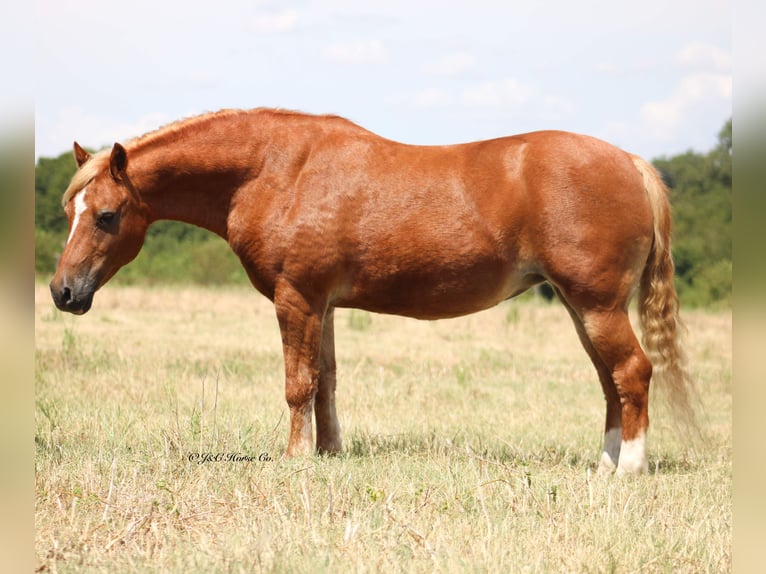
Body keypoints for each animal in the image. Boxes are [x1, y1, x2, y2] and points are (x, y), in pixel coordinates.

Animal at [49, 108, 697, 475]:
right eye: (67, 210)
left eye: (106, 216)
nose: (63, 292)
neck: (275, 169)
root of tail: (631, 162)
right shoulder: (324, 304)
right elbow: (327, 381)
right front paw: (329, 452)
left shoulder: (296, 298)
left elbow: (298, 383)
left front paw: (295, 460)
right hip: (580, 307)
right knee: (610, 381)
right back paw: (605, 465)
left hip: (596, 305)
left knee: (633, 372)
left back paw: (629, 471)